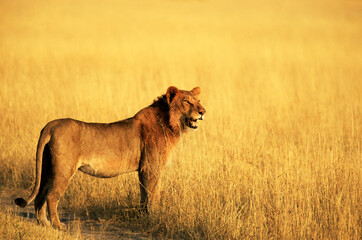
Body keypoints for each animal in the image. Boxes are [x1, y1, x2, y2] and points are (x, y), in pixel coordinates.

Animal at [14, 86, 206, 229]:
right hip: (63, 169)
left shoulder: (143, 169)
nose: (203, 112)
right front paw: (155, 218)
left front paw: (143, 217)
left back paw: (44, 224)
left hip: (47, 166)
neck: (170, 123)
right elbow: (154, 195)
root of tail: (51, 124)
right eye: (186, 101)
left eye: (198, 101)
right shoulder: (151, 167)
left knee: (40, 195)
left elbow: (144, 195)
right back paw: (58, 226)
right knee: (52, 196)